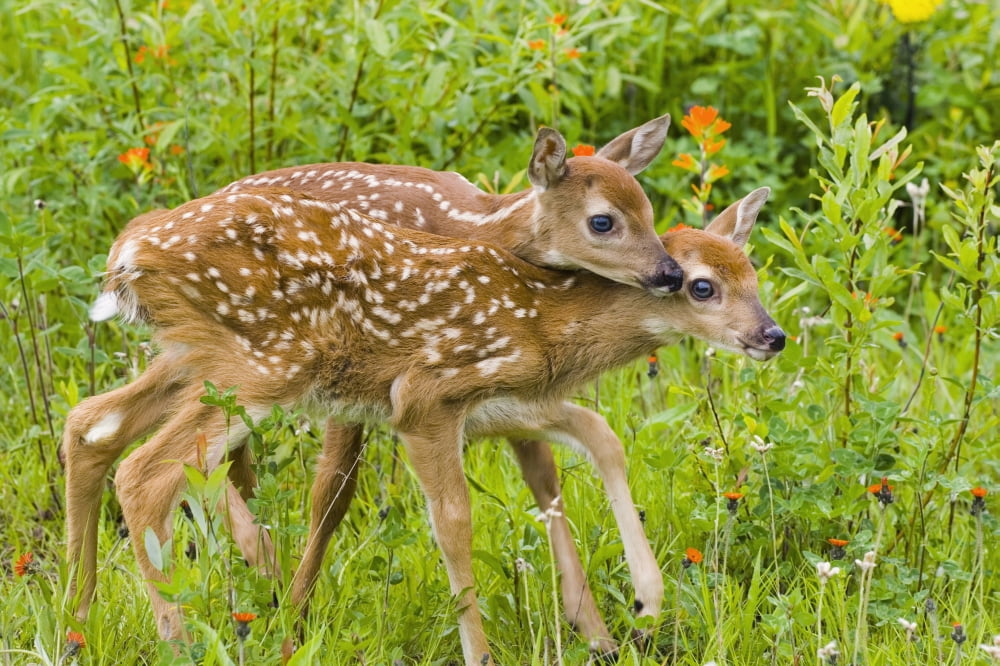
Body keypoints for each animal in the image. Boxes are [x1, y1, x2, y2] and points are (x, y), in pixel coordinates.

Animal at [76, 183, 783, 664]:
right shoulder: (425, 397)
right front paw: (483, 654)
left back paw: (77, 618)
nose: (772, 336)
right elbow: (454, 523)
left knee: (93, 426)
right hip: (264, 365)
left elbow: (600, 438)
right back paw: (179, 639)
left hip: (192, 357)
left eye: (752, 272)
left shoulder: (503, 403)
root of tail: (129, 247)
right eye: (701, 286)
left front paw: (642, 607)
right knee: (143, 473)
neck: (542, 323)